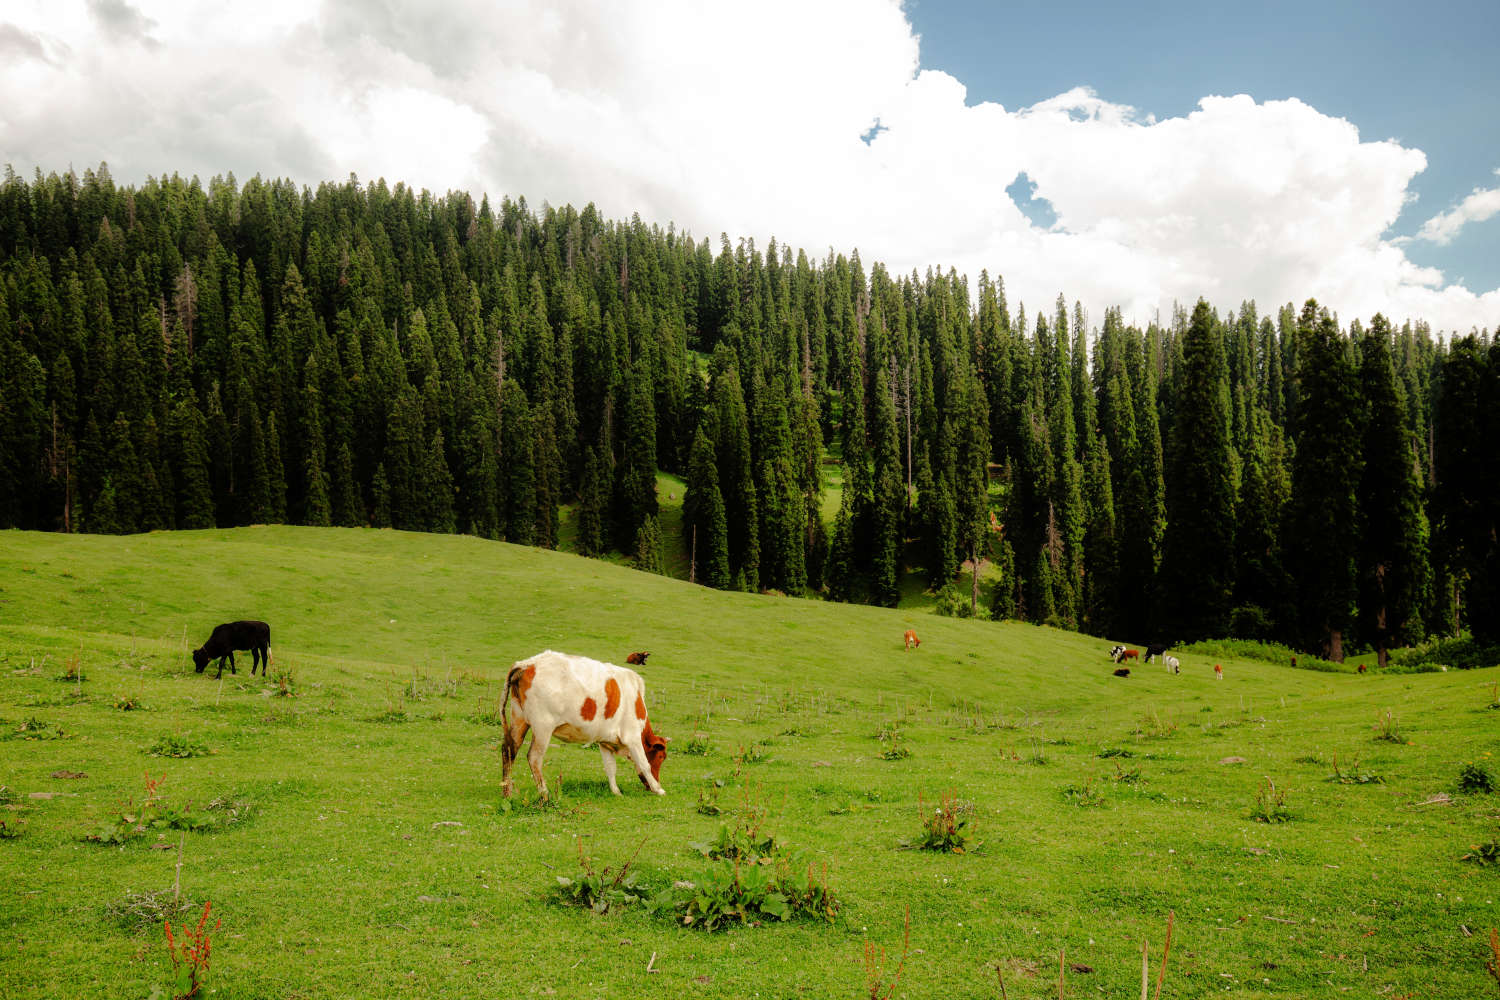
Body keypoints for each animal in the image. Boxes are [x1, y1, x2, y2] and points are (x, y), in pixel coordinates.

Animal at [501, 653, 672, 803]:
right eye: (661, 757)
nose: (650, 787)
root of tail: (527, 664)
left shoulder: (605, 742)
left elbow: (610, 767)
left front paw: (616, 791)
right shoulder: (633, 737)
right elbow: (644, 764)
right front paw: (659, 789)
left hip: (519, 719)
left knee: (508, 751)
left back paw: (507, 793)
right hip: (543, 727)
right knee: (534, 758)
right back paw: (544, 794)